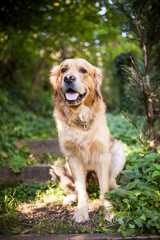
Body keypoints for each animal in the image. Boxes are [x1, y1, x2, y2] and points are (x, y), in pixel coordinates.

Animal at [50, 58, 126, 223]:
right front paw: (81, 211)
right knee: (82, 185)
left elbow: (104, 188)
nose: (69, 78)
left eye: (83, 70)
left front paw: (108, 210)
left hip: (118, 151)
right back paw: (71, 197)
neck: (80, 120)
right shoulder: (73, 157)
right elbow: (81, 189)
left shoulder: (102, 156)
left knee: (111, 182)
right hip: (66, 163)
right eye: (63, 70)